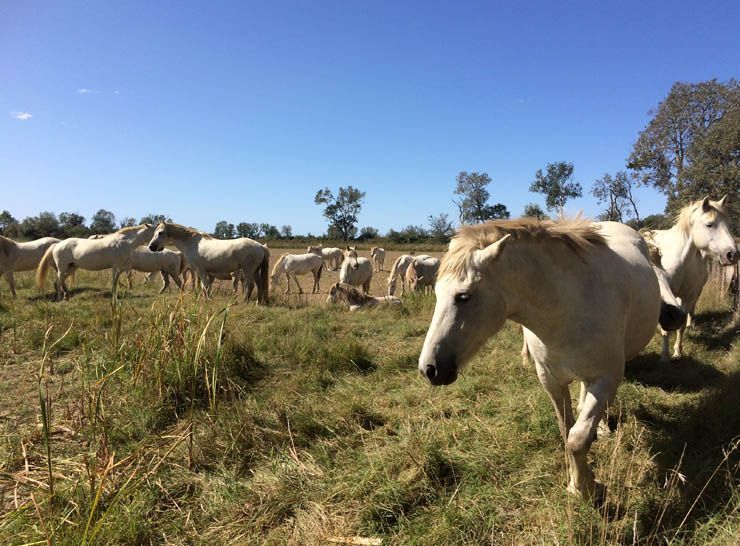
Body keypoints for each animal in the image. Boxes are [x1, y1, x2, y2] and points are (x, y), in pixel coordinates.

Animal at [418, 218, 664, 501]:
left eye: (464, 296)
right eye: (437, 292)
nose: (429, 369)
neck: (569, 308)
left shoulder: (605, 379)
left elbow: (577, 439)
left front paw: (585, 489)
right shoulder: (551, 381)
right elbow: (568, 431)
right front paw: (577, 481)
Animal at [641, 196, 737, 362]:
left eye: (728, 224)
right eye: (709, 224)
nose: (732, 254)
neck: (680, 259)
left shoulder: (687, 295)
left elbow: (680, 325)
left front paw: (677, 351)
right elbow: (666, 329)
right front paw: (664, 355)